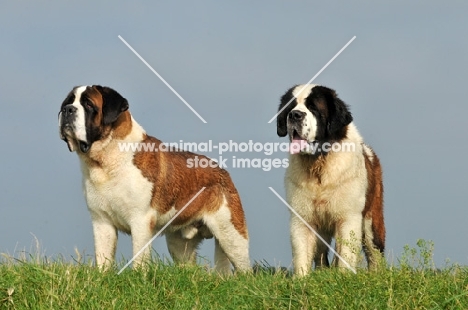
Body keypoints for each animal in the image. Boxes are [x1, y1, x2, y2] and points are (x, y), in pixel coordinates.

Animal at [59, 85, 252, 274]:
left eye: (88, 104)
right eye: (68, 102)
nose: (67, 109)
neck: (105, 161)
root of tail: (224, 173)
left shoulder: (140, 220)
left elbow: (139, 257)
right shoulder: (101, 221)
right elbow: (103, 257)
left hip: (232, 236)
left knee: (244, 269)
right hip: (179, 244)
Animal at [278, 83, 384, 274]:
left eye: (313, 108)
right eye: (290, 107)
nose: (295, 115)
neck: (319, 164)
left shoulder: (349, 218)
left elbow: (346, 253)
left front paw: (343, 276)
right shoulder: (302, 217)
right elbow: (301, 252)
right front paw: (301, 278)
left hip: (371, 220)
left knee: (374, 250)